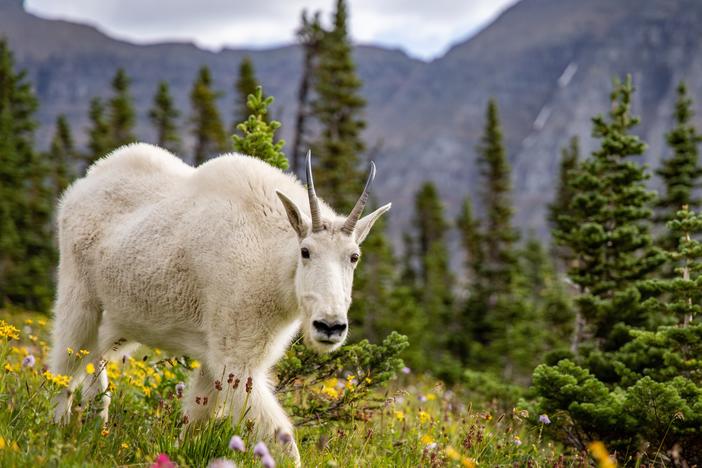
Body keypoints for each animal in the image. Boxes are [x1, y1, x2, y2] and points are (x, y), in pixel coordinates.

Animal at [49, 143, 390, 464]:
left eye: (354, 256)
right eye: (305, 251)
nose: (330, 326)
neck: (271, 259)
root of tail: (80, 186)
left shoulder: (215, 358)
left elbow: (195, 419)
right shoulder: (237, 357)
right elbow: (281, 437)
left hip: (122, 319)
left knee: (95, 360)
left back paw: (97, 427)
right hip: (79, 294)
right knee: (64, 364)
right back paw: (56, 431)